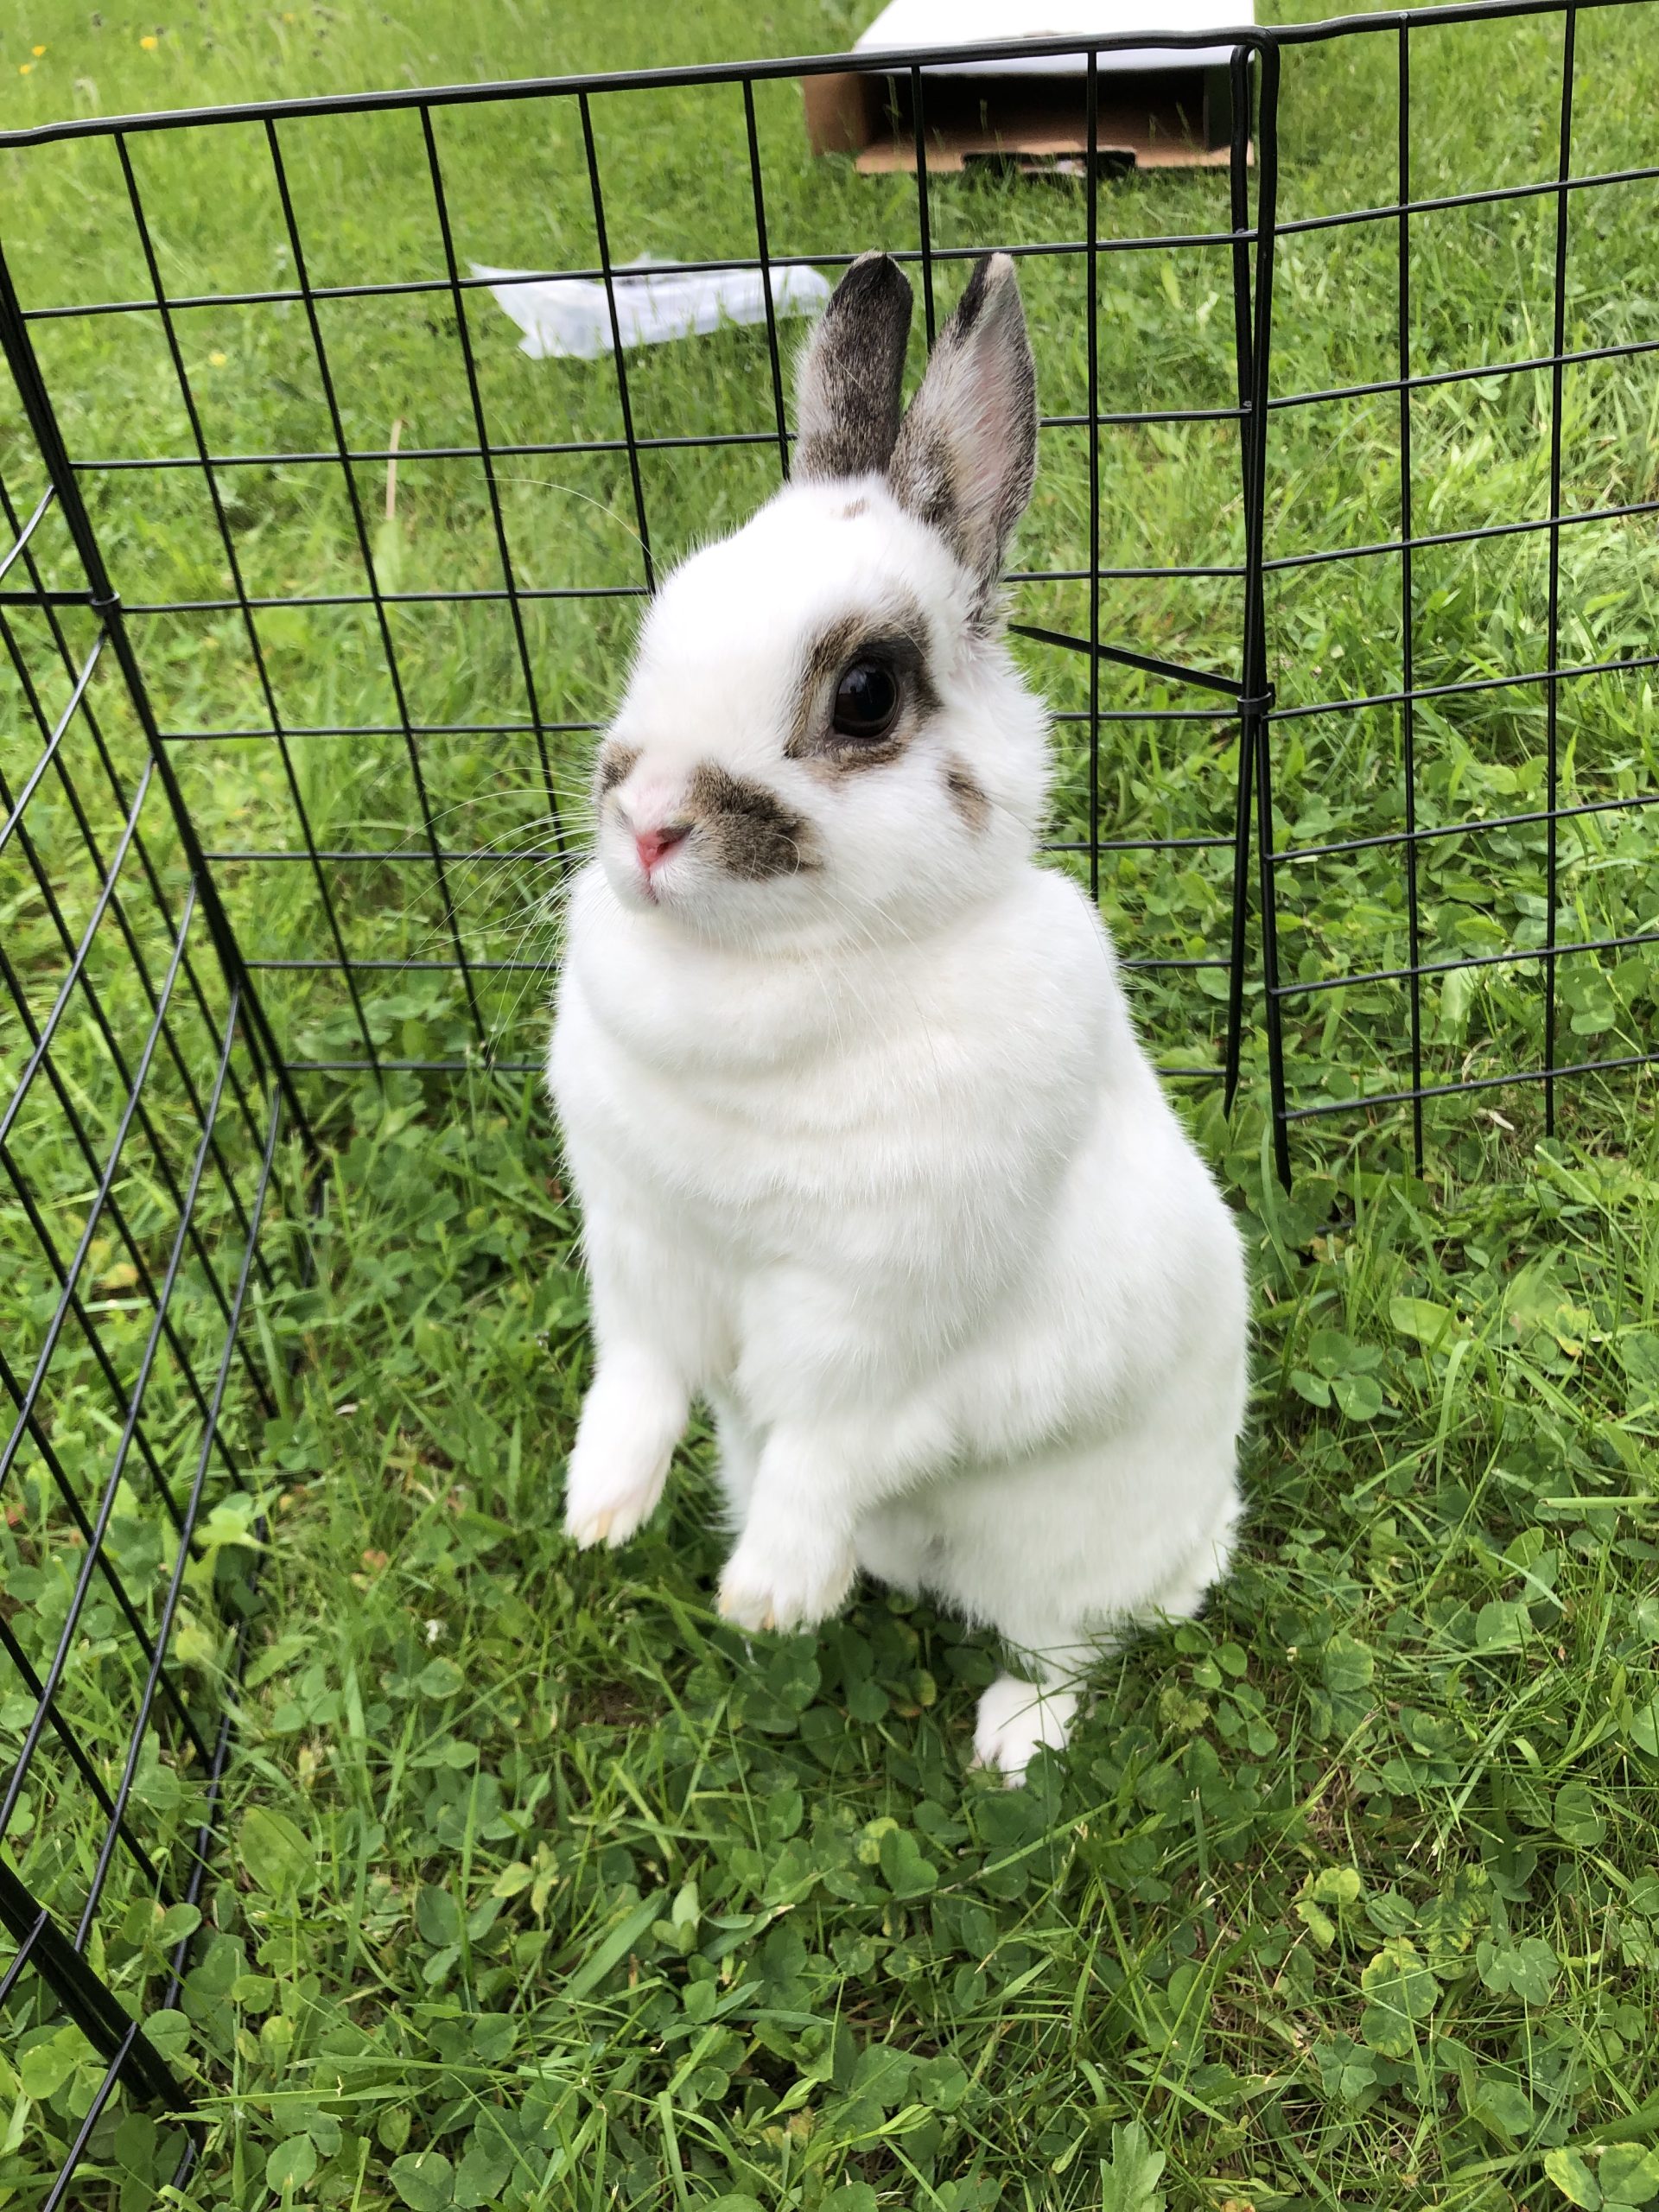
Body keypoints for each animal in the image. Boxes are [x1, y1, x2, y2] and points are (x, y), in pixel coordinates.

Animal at [547, 249, 1249, 1781]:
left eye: (865, 693)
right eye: (660, 622)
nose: (649, 824)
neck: (769, 981)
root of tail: (1203, 1536)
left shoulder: (877, 1325)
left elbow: (828, 1441)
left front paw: (765, 1597)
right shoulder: (641, 1250)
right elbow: (636, 1381)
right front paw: (600, 1512)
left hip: (1068, 1554)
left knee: (1068, 1643)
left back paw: (1006, 1740)